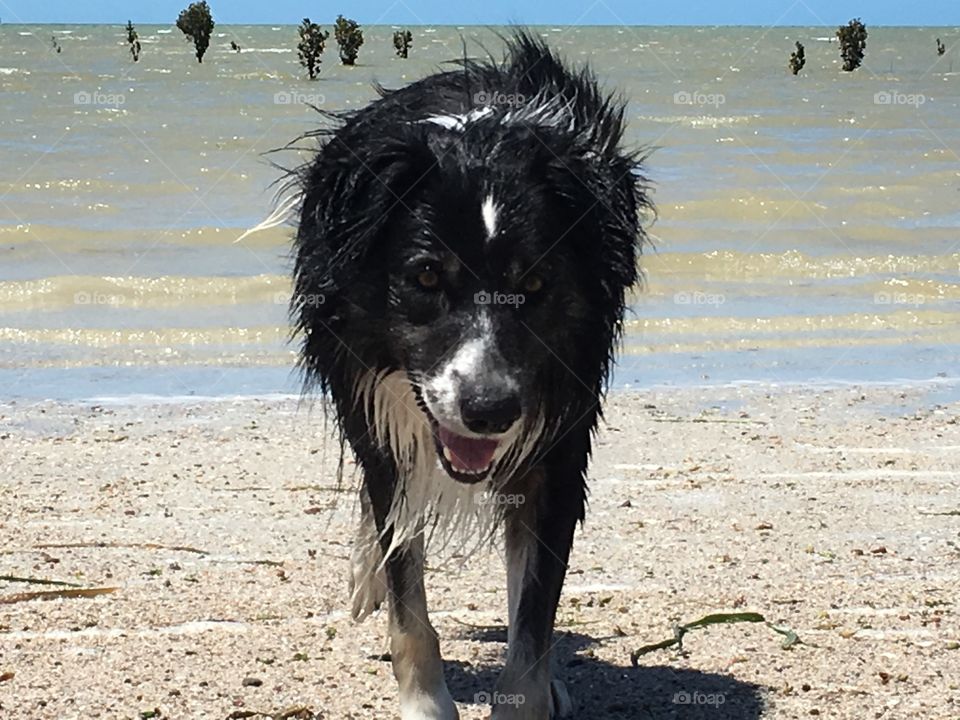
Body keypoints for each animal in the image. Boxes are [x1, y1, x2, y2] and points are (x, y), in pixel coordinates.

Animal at [290, 29, 652, 720]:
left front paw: (529, 695)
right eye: (427, 276)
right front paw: (425, 703)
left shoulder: (557, 446)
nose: (489, 412)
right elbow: (407, 594)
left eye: (535, 284)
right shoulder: (382, 421)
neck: (484, 140)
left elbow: (534, 613)